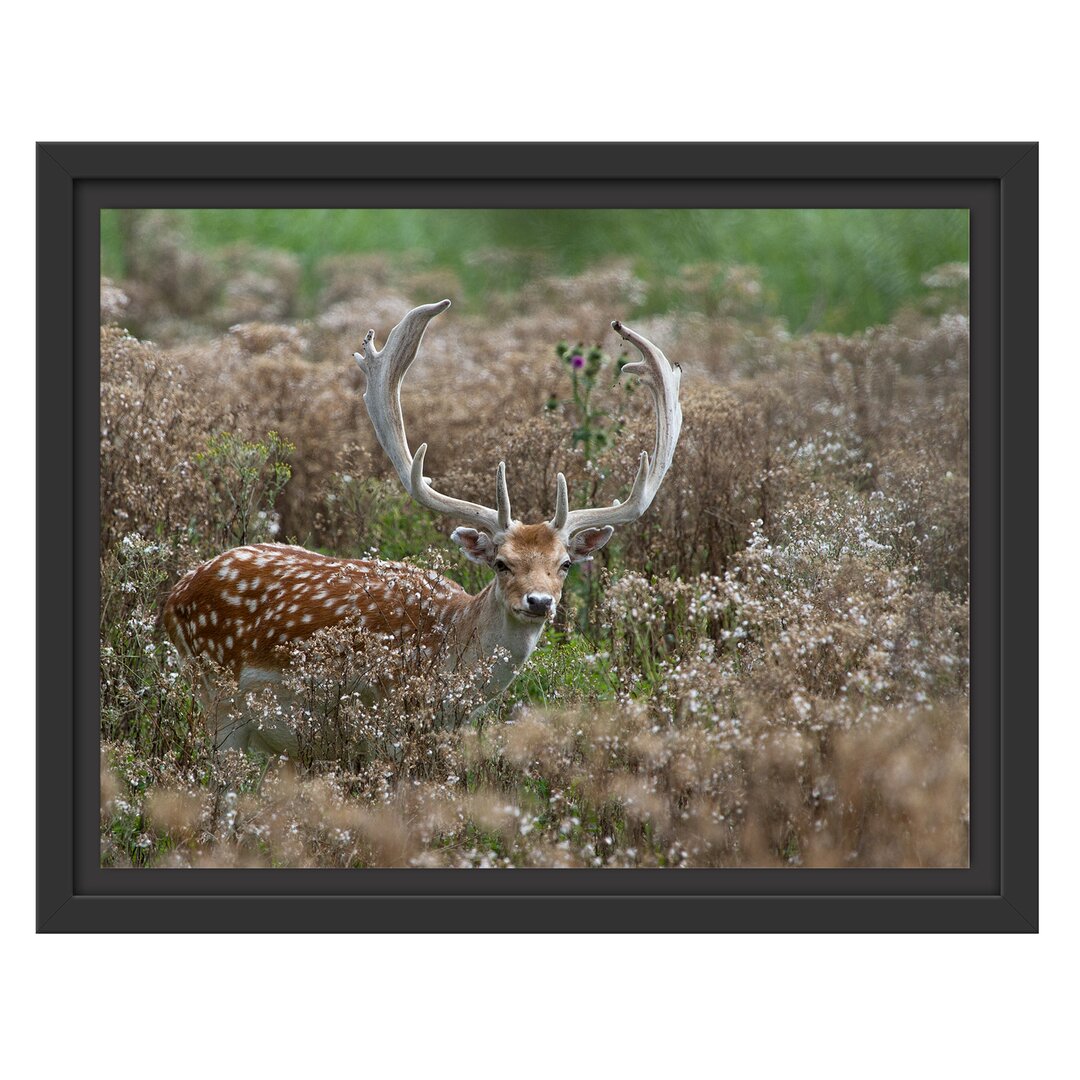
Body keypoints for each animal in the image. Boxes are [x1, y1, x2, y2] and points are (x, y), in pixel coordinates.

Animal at [163, 295, 678, 751]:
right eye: (501, 563)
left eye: (565, 563)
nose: (539, 601)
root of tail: (172, 596)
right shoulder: (386, 721)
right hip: (217, 695)